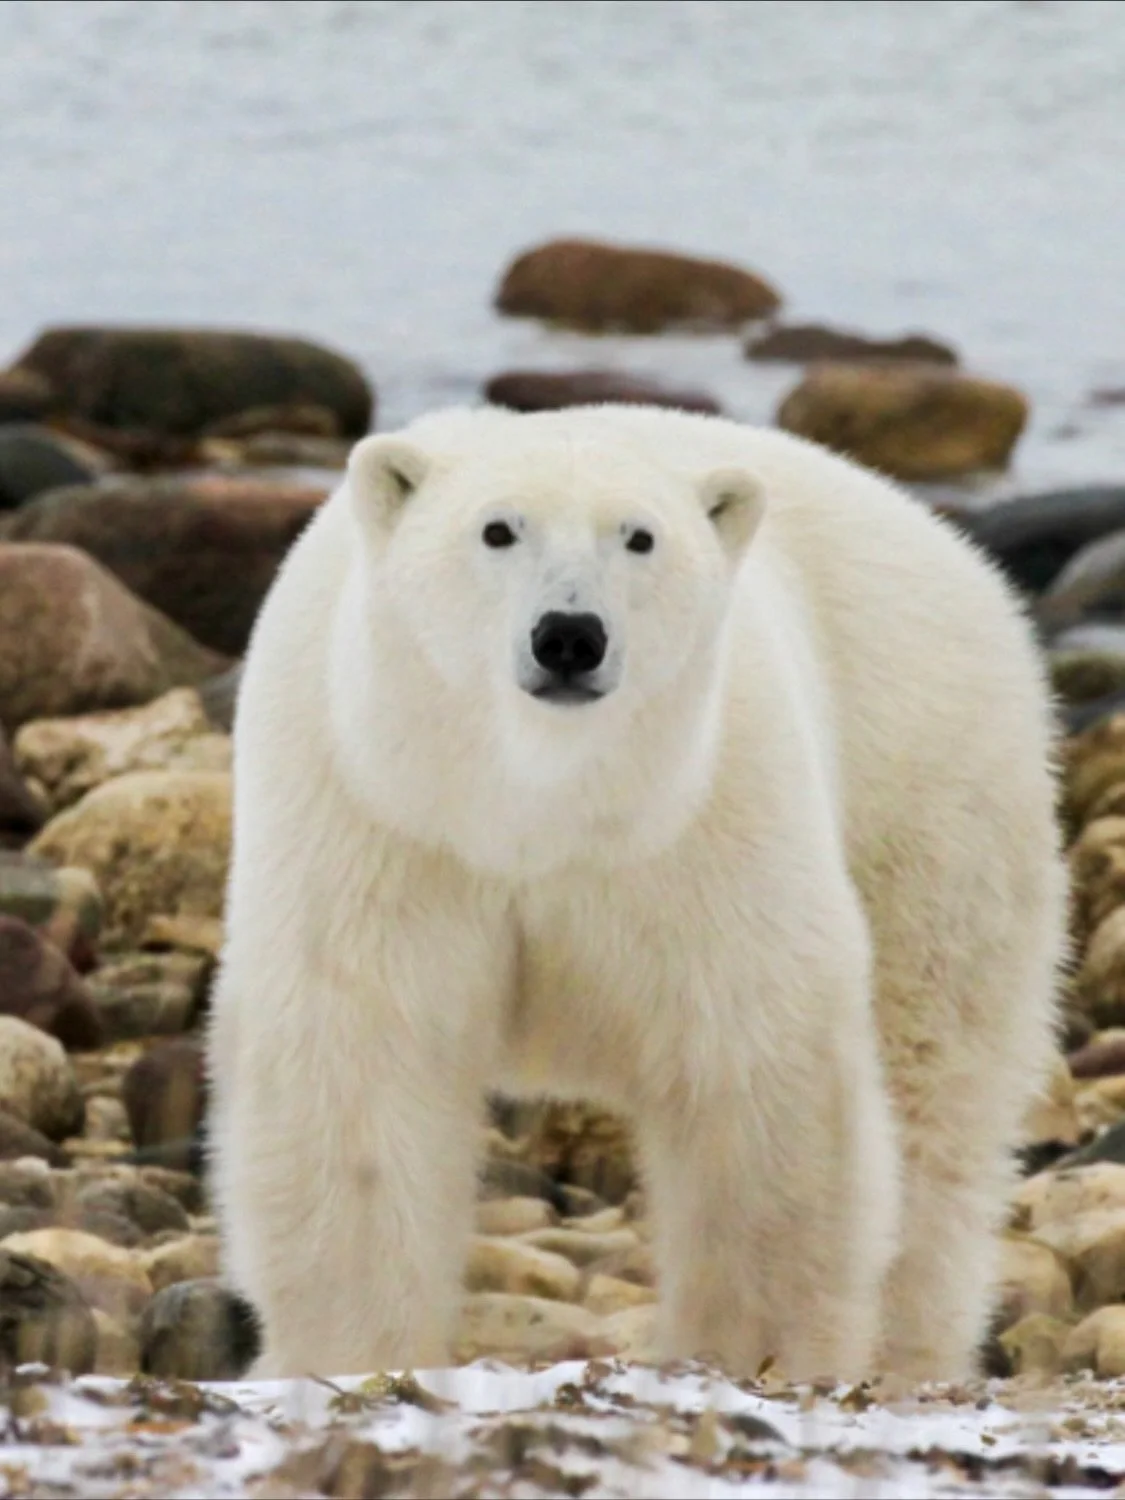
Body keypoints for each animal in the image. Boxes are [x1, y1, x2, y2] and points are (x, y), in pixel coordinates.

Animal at [207, 403, 1065, 1384]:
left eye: (639, 536)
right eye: (497, 529)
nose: (569, 635)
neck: (532, 803)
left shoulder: (701, 823)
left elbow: (752, 1066)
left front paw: (749, 1354)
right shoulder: (385, 820)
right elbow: (361, 1065)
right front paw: (346, 1355)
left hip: (927, 786)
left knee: (936, 1078)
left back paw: (904, 1348)